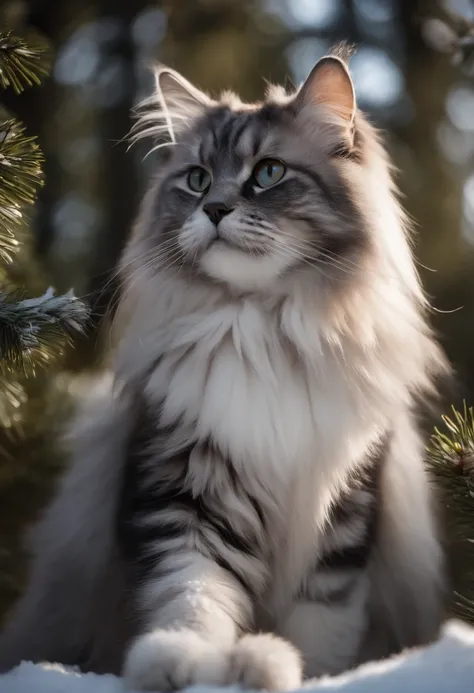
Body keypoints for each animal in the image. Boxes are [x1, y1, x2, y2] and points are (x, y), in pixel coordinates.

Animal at [0, 47, 450, 688]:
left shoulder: (344, 513)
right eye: (196, 179)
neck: (262, 328)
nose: (214, 209)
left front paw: (289, 670)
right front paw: (180, 662)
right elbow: (192, 595)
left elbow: (320, 626)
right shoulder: (185, 491)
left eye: (268, 173)